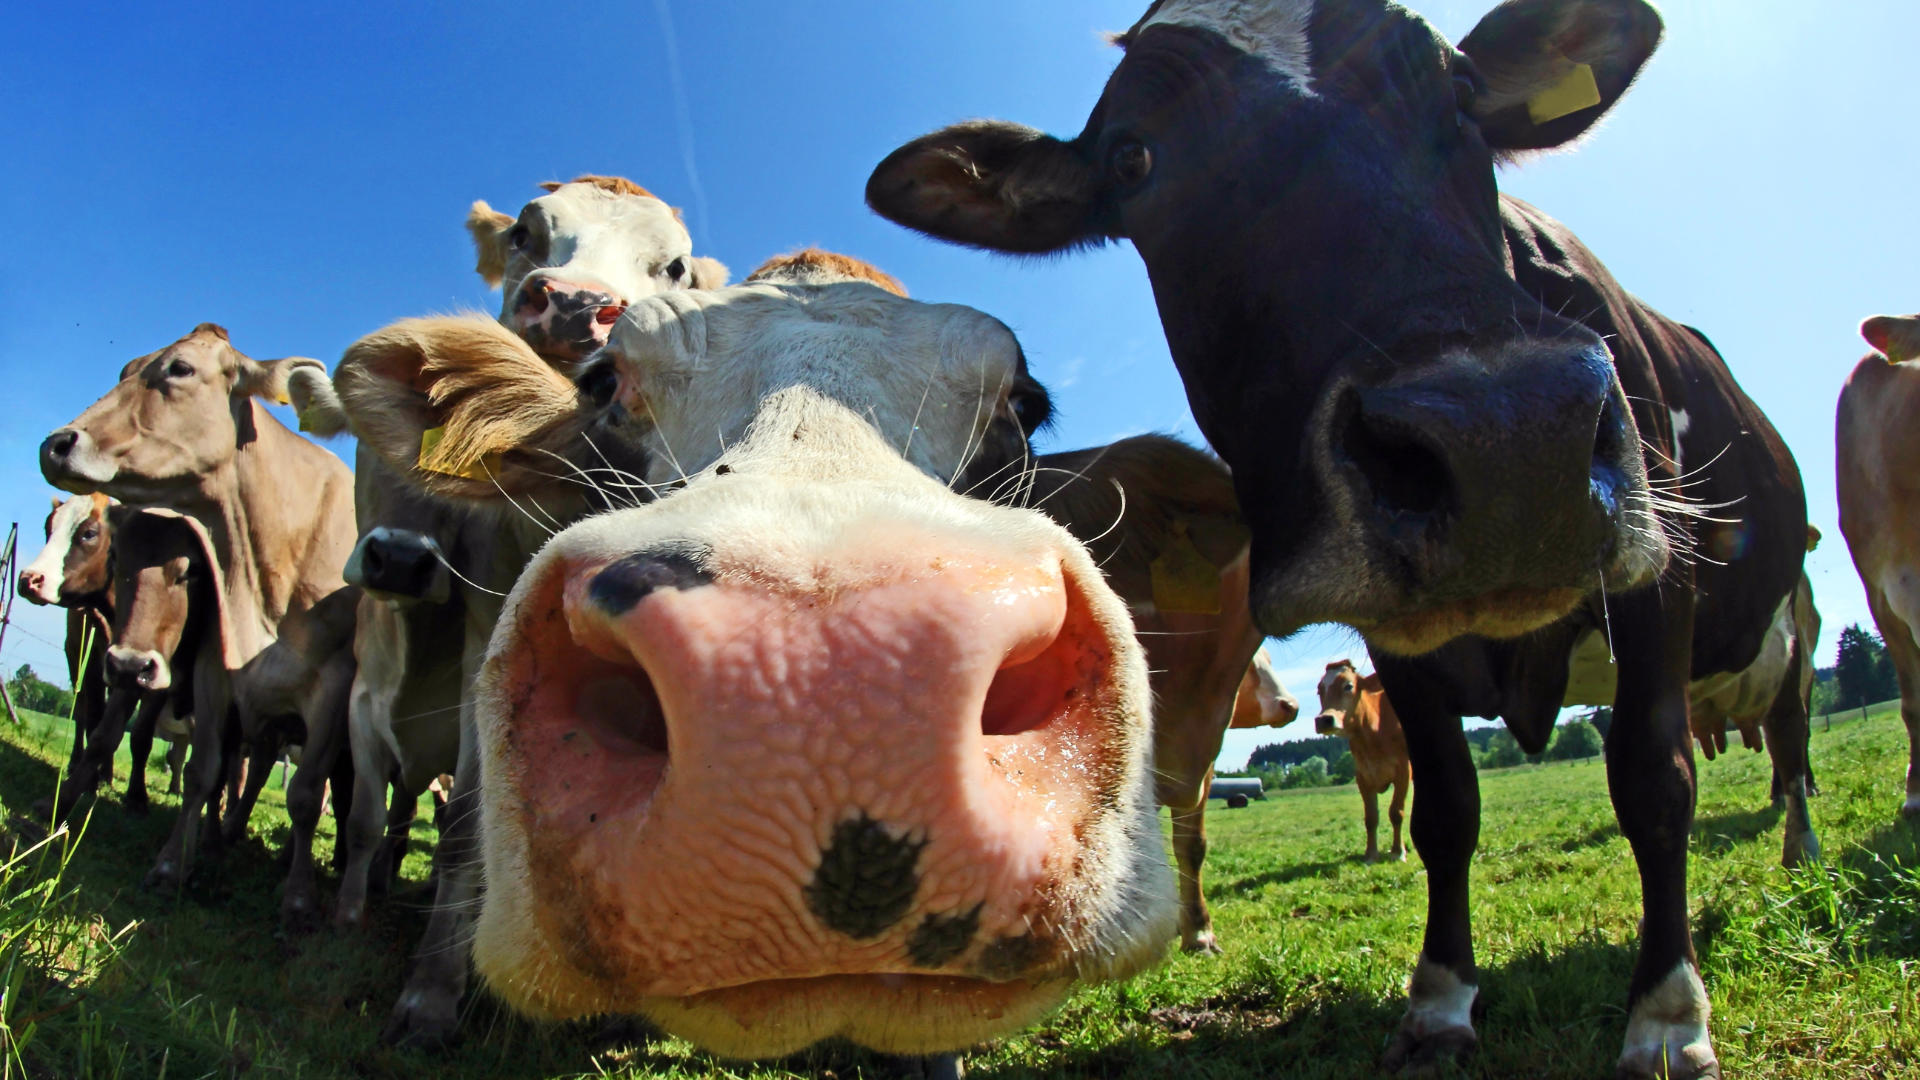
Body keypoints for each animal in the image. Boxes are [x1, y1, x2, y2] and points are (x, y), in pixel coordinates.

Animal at [280, 174, 729, 1045]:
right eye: (526, 233)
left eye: (676, 266)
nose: (579, 303)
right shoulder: (483, 643)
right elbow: (461, 824)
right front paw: (431, 992)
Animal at [1313, 653, 1420, 860]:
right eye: (1319, 689)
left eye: (1348, 686)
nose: (1324, 719)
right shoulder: (1362, 775)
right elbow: (1371, 817)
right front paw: (1371, 853)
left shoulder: (1403, 771)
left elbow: (1396, 812)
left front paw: (1398, 851)